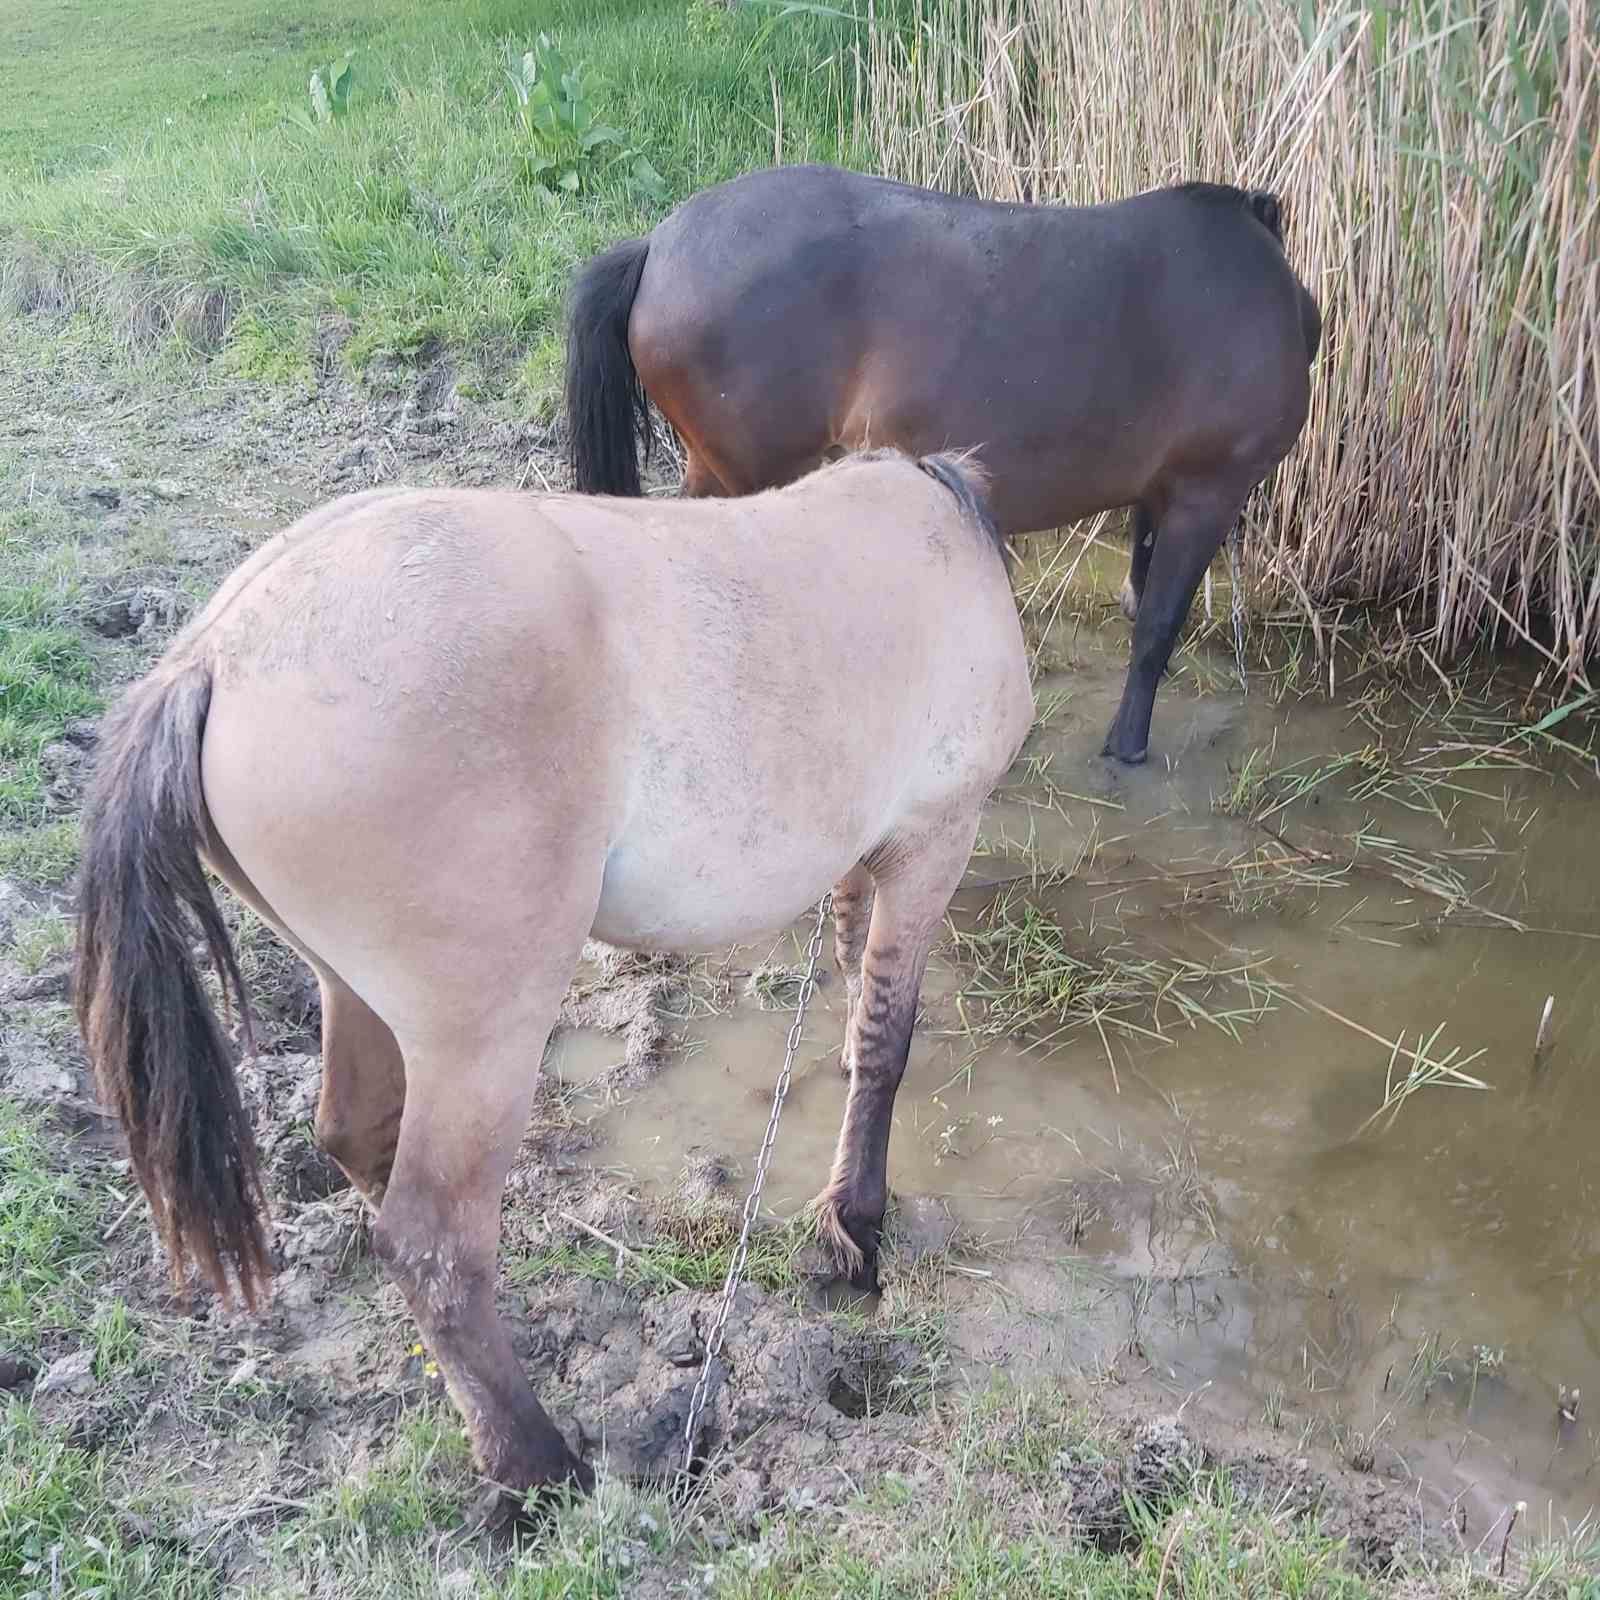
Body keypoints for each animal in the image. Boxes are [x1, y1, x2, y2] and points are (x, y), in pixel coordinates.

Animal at [75, 454, 1030, 1510]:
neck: (933, 519)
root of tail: (215, 653)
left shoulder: (872, 854)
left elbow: (856, 983)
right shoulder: (934, 842)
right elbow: (885, 1040)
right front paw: (856, 1225)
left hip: (351, 992)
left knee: (359, 1138)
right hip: (484, 1036)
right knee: (434, 1242)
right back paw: (537, 1464)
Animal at [569, 165, 1318, 764]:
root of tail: (659, 246)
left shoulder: (1162, 494)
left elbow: (1142, 596)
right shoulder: (1206, 494)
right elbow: (1157, 628)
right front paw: (1128, 747)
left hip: (715, 469)